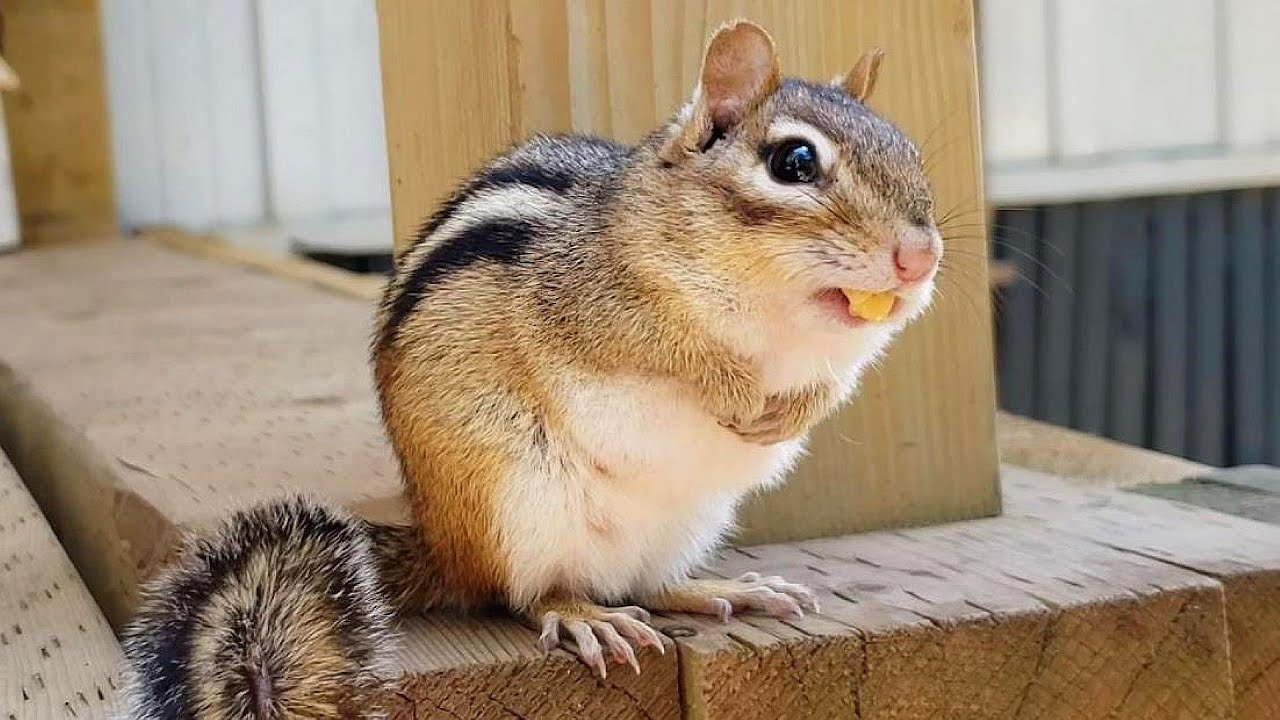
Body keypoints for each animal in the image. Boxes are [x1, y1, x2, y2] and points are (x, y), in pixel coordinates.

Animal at [119, 19, 942, 719]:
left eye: (912, 154)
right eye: (793, 162)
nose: (921, 258)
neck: (779, 329)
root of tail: (445, 546)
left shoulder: (835, 361)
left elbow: (829, 388)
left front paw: (788, 413)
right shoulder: (598, 311)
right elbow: (671, 355)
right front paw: (736, 394)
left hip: (684, 521)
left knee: (647, 582)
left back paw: (718, 589)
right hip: (521, 506)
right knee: (528, 593)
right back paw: (582, 616)